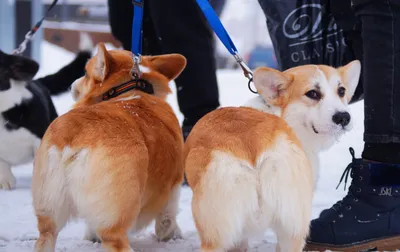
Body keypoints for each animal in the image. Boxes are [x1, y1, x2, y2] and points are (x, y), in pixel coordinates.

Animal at [31, 43, 188, 252]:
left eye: (85, 73)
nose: (71, 85)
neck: (131, 89)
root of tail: (75, 133)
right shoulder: (173, 183)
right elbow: (167, 216)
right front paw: (171, 235)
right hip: (119, 209)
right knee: (116, 240)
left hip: (49, 206)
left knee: (46, 235)